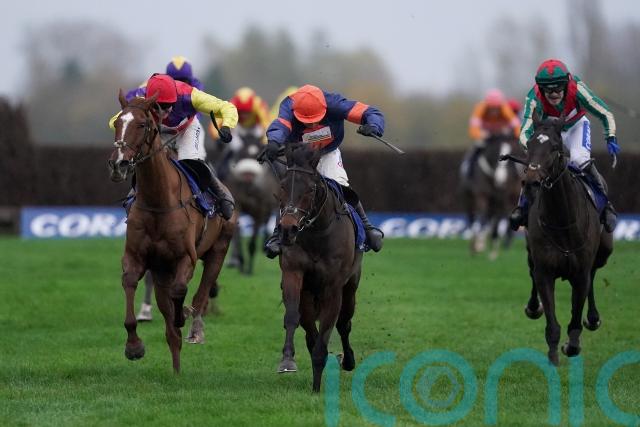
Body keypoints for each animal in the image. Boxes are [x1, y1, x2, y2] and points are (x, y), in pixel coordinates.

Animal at [107, 91, 237, 372]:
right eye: (118, 123)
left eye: (142, 124)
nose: (118, 164)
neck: (159, 201)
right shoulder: (137, 257)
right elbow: (130, 283)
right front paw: (134, 346)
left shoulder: (185, 257)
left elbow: (180, 292)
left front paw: (182, 316)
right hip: (161, 270)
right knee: (170, 331)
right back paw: (176, 369)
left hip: (218, 249)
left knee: (200, 294)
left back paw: (194, 329)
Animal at [222, 133, 279, 275]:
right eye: (241, 153)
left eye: (256, 155)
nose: (248, 175)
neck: (249, 188)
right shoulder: (237, 204)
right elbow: (236, 236)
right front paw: (240, 261)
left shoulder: (261, 208)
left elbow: (252, 241)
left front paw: (248, 269)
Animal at [272, 144, 363, 392]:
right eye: (282, 186)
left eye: (311, 189)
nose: (287, 229)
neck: (317, 234)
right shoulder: (293, 273)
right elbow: (292, 317)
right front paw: (287, 360)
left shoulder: (333, 287)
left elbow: (329, 327)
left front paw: (317, 383)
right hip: (309, 295)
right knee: (309, 327)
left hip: (350, 289)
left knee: (344, 323)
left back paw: (348, 360)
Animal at [517, 114, 613, 366]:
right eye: (530, 145)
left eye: (554, 147)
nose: (531, 182)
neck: (562, 221)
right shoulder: (545, 271)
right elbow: (552, 323)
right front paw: (553, 358)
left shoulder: (580, 273)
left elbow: (576, 316)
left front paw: (572, 345)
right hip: (530, 252)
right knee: (530, 270)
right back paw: (533, 307)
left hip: (604, 250)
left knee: (594, 273)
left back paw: (593, 318)